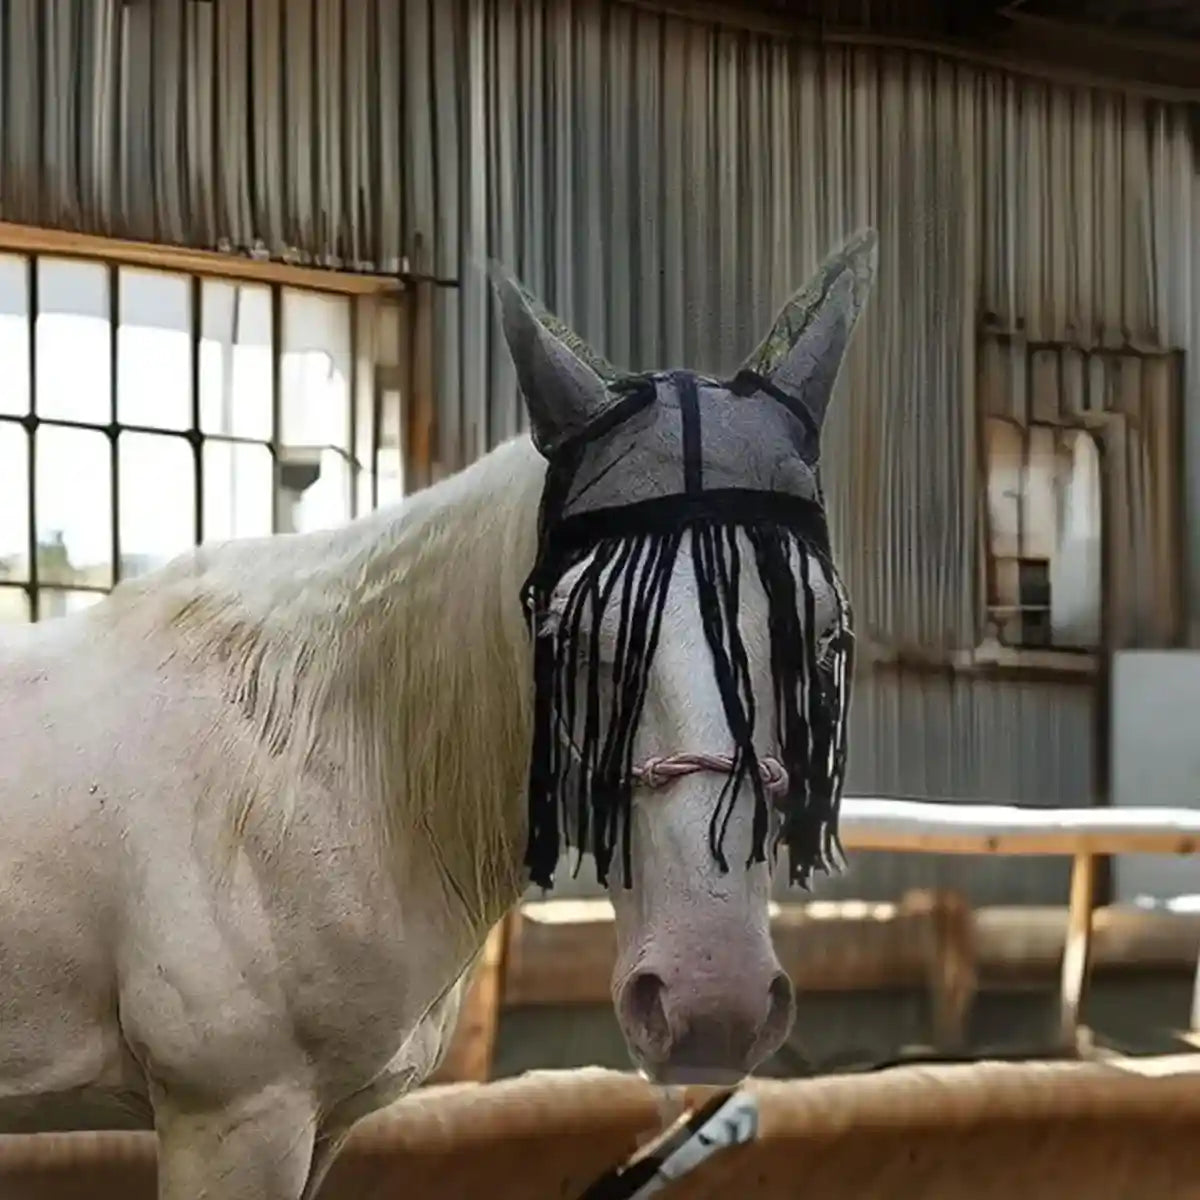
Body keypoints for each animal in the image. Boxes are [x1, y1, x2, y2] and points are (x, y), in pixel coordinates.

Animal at [0, 228, 877, 1199]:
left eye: (820, 638)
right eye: (575, 634)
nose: (711, 1003)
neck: (317, 761)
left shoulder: (320, 1128)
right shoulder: (233, 1121)